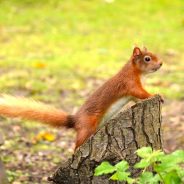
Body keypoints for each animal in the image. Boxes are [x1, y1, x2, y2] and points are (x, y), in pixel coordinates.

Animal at [0, 46, 162, 150]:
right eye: (147, 58)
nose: (161, 63)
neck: (134, 71)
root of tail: (76, 120)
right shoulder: (130, 84)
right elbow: (141, 93)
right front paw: (155, 95)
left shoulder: (131, 93)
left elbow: (137, 99)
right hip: (87, 126)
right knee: (77, 144)